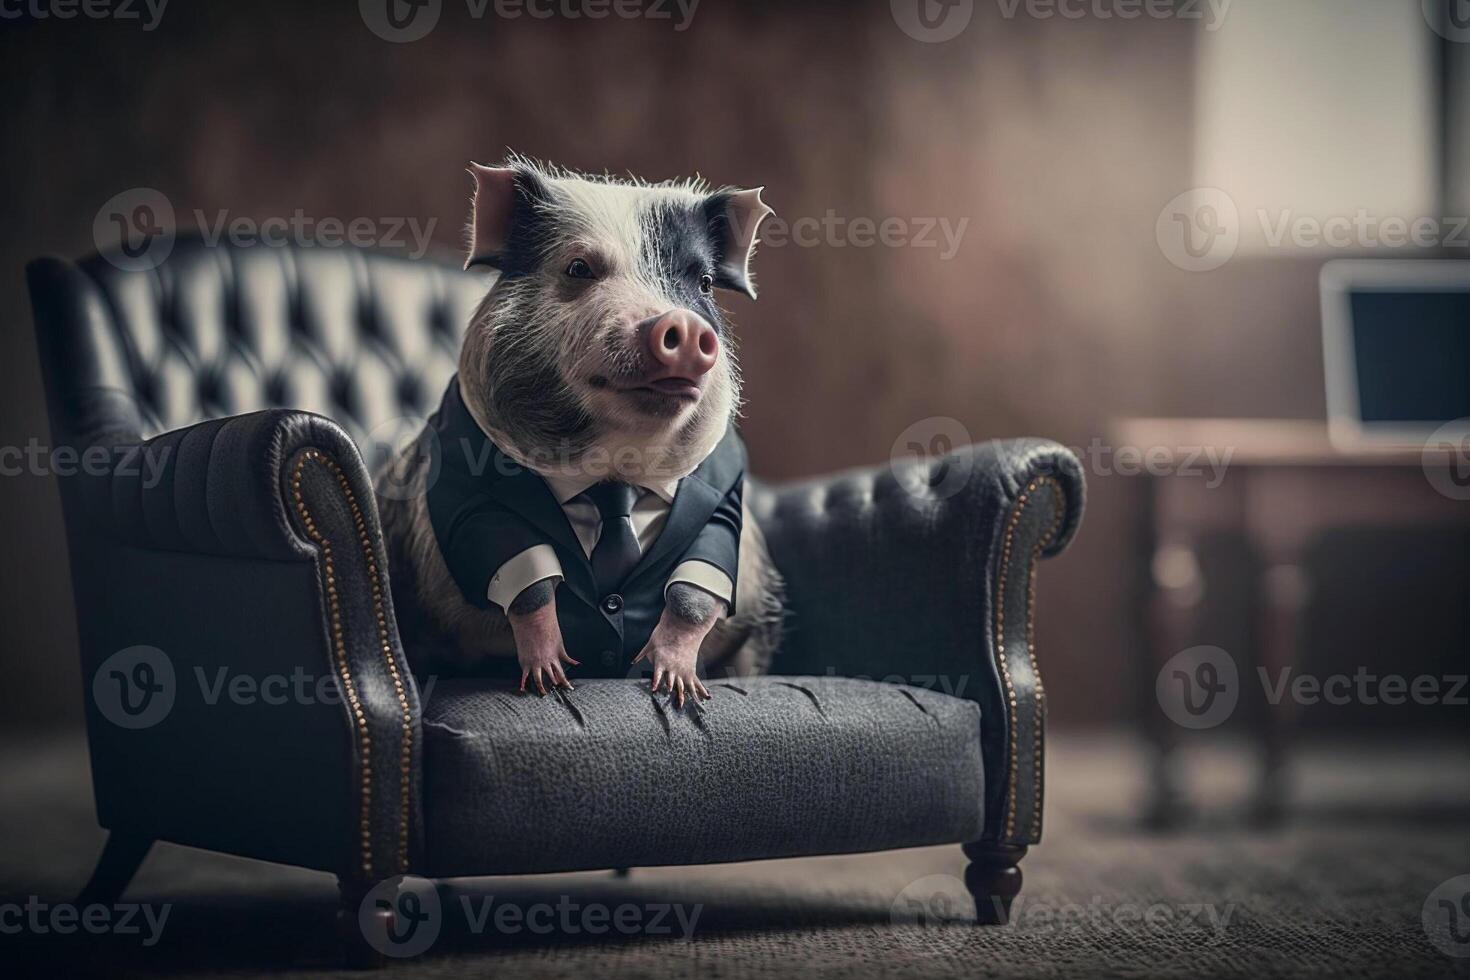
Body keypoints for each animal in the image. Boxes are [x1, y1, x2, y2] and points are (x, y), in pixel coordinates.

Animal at [379, 155, 787, 705]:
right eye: (578, 268)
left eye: (702, 283)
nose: (682, 325)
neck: (614, 468)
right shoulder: (469, 486)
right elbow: (523, 573)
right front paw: (551, 678)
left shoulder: (722, 498)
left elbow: (697, 583)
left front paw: (675, 686)